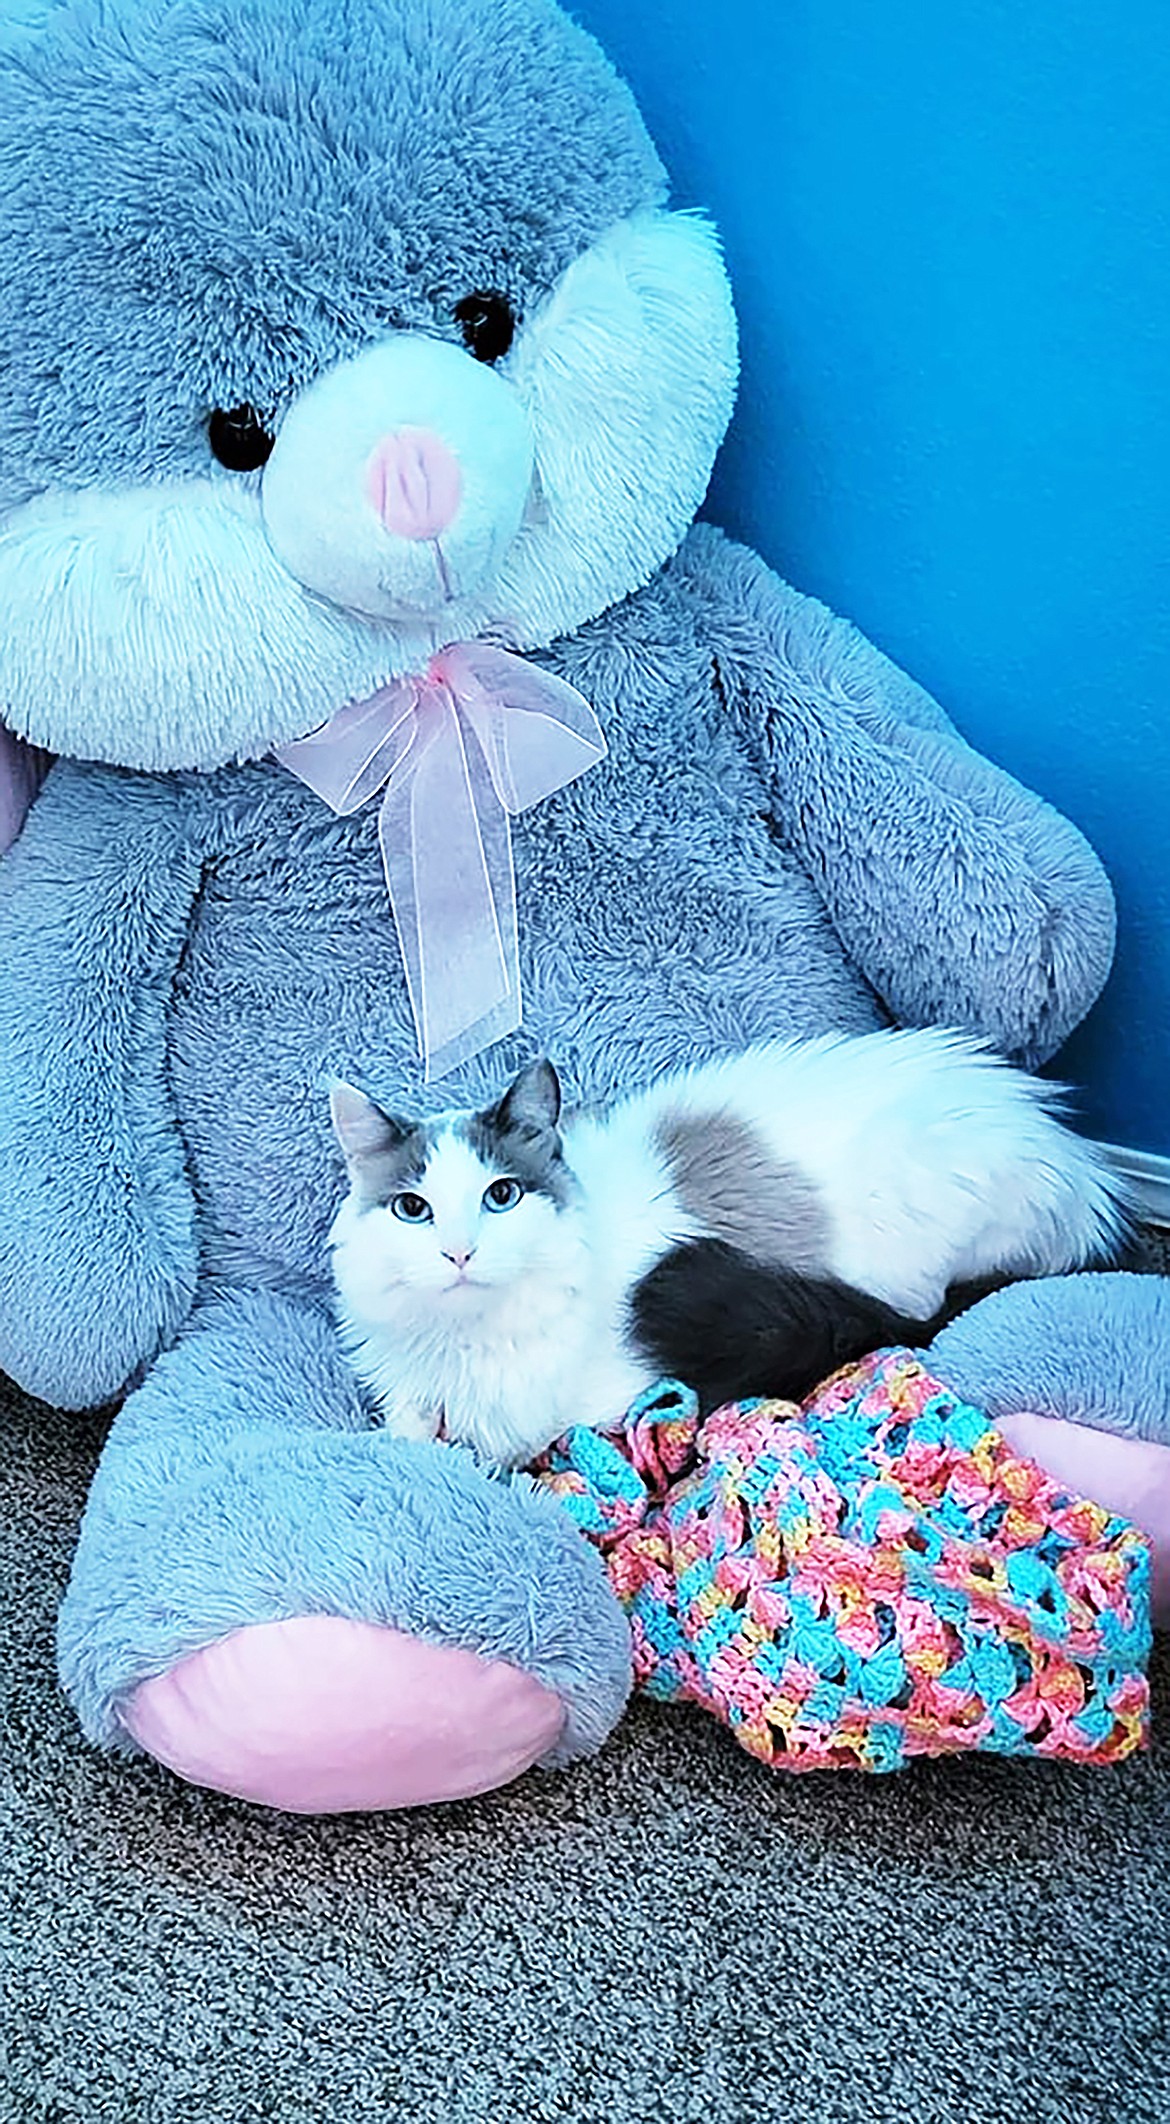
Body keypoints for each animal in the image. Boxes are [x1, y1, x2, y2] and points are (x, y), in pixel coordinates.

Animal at [324, 1023, 1129, 1461]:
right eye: (413, 1209)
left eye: (501, 1197)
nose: (459, 1254)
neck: (464, 1348)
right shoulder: (405, 1395)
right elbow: (406, 1435)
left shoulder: (585, 1407)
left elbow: (505, 1448)